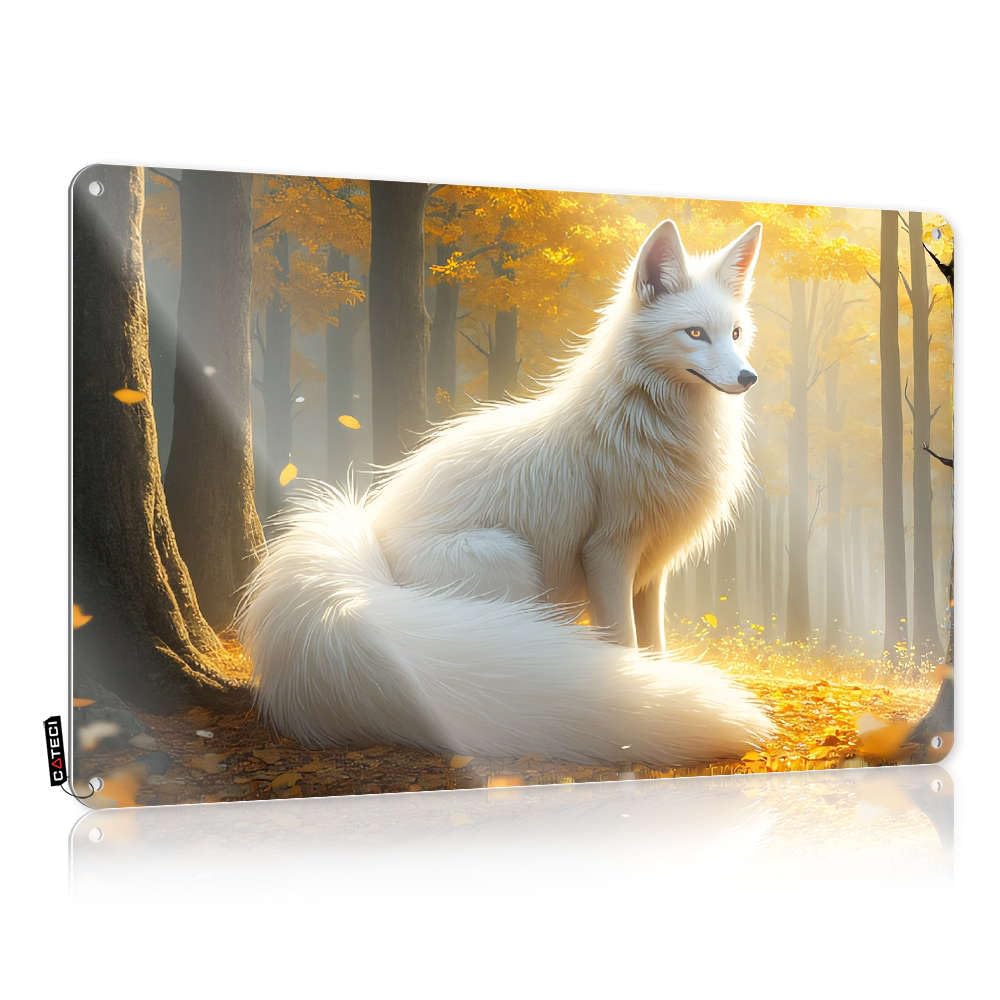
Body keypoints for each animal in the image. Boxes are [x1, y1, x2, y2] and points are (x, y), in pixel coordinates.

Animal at [237, 218, 775, 765]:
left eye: (735, 333)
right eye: (694, 333)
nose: (749, 377)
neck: (650, 425)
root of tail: (370, 574)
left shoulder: (653, 569)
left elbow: (654, 645)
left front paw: (659, 681)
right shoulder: (607, 554)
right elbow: (623, 643)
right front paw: (639, 693)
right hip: (509, 561)